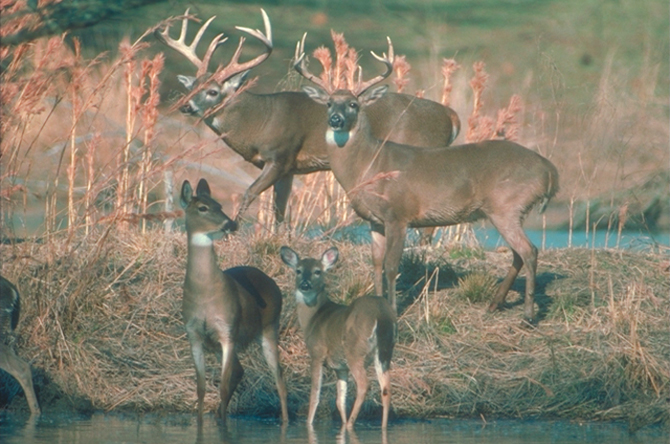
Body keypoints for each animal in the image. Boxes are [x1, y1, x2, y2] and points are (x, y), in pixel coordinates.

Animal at [156, 11, 460, 229]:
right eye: (191, 87)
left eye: (213, 91)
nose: (186, 106)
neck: (258, 119)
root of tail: (451, 115)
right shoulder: (289, 168)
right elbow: (279, 209)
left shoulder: (280, 156)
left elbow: (249, 194)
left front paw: (234, 230)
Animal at [180, 178, 288, 423]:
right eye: (203, 207)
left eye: (220, 205)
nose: (230, 223)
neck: (205, 293)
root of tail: (272, 282)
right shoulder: (194, 334)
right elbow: (201, 388)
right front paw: (203, 420)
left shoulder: (227, 330)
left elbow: (222, 386)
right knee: (240, 371)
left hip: (269, 327)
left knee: (278, 376)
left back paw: (286, 420)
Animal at [280, 246, 396, 429]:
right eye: (298, 270)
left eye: (317, 271)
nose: (305, 284)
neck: (313, 318)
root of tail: (381, 314)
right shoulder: (340, 367)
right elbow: (340, 400)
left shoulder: (317, 353)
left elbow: (315, 395)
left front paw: (309, 424)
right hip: (385, 352)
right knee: (386, 388)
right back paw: (381, 426)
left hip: (355, 350)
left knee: (364, 384)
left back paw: (350, 424)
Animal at [294, 37, 560, 324]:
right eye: (329, 103)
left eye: (354, 104)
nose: (336, 120)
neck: (368, 166)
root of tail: (550, 171)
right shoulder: (375, 221)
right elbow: (376, 264)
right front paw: (378, 303)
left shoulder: (398, 214)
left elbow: (391, 266)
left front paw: (394, 310)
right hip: (507, 210)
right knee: (518, 254)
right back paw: (494, 304)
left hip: (507, 205)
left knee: (529, 251)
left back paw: (529, 315)